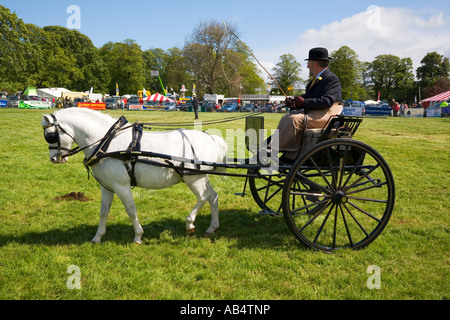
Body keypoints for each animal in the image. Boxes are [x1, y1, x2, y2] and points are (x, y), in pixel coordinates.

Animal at [40, 109, 227, 244]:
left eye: (50, 135)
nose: (53, 158)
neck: (107, 143)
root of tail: (211, 138)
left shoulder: (121, 186)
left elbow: (131, 210)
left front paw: (138, 236)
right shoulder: (107, 186)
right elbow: (103, 211)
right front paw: (98, 237)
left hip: (193, 178)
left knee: (202, 197)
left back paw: (189, 223)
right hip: (201, 178)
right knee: (213, 197)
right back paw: (212, 227)